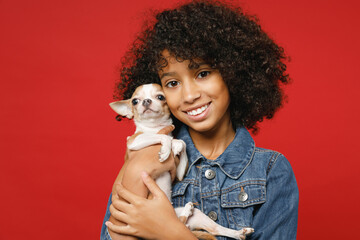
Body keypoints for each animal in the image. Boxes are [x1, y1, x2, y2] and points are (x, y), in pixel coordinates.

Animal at [109, 84, 253, 240]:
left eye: (161, 97)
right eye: (135, 101)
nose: (146, 101)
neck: (156, 128)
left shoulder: (177, 173)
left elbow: (181, 142)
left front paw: (175, 146)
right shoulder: (133, 141)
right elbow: (164, 137)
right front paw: (166, 149)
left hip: (195, 216)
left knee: (209, 228)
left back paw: (238, 232)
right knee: (184, 223)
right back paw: (188, 211)